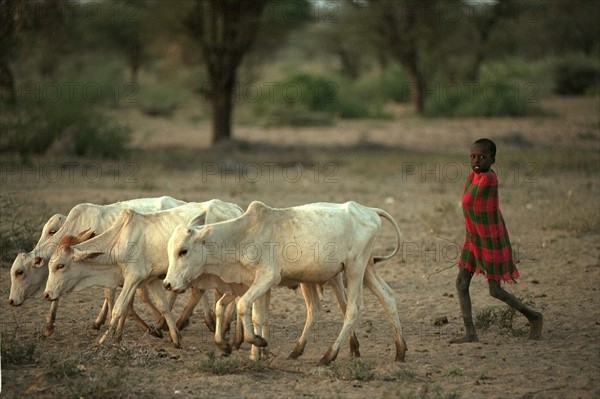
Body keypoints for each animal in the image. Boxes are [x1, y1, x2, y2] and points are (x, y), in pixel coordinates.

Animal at [42, 200, 245, 350]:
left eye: (60, 265)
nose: (47, 294)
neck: (119, 241)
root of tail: (236, 209)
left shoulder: (133, 278)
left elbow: (119, 308)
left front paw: (103, 340)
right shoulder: (151, 279)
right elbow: (162, 306)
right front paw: (174, 337)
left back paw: (228, 332)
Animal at [164, 203, 408, 366]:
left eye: (183, 251)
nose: (167, 283)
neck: (242, 235)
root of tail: (369, 209)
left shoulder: (267, 278)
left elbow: (242, 306)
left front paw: (257, 342)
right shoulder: (256, 284)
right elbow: (255, 315)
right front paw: (251, 353)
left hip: (354, 269)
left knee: (352, 309)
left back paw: (328, 356)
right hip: (365, 270)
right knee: (387, 297)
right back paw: (400, 351)